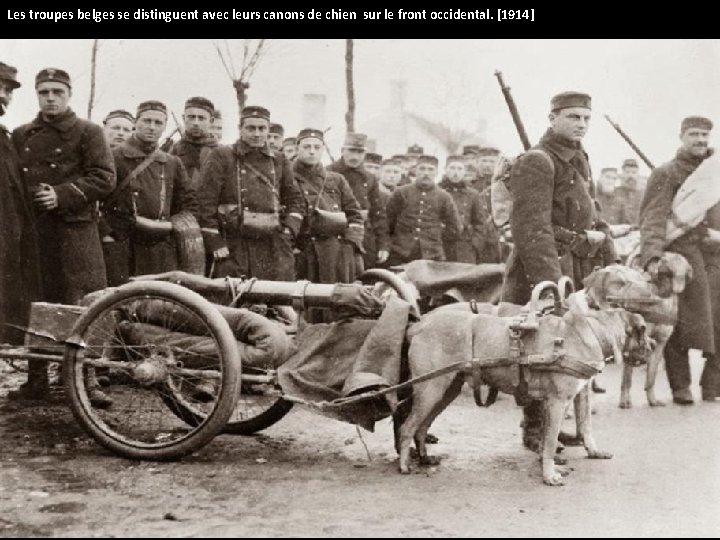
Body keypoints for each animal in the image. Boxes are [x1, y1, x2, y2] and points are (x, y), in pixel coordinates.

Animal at [396, 264, 656, 486]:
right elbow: (549, 440)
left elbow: (584, 426)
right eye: (620, 282)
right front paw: (550, 474)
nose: (651, 348)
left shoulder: (579, 394)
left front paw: (591, 451)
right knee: (407, 426)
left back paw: (424, 457)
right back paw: (404, 465)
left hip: (446, 390)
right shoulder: (556, 402)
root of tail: (419, 323)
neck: (588, 326)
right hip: (430, 389)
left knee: (422, 426)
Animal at [620, 251, 692, 408]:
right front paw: (623, 400)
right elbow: (627, 379)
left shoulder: (659, 344)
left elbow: (651, 376)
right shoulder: (633, 343)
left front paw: (652, 400)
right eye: (664, 269)